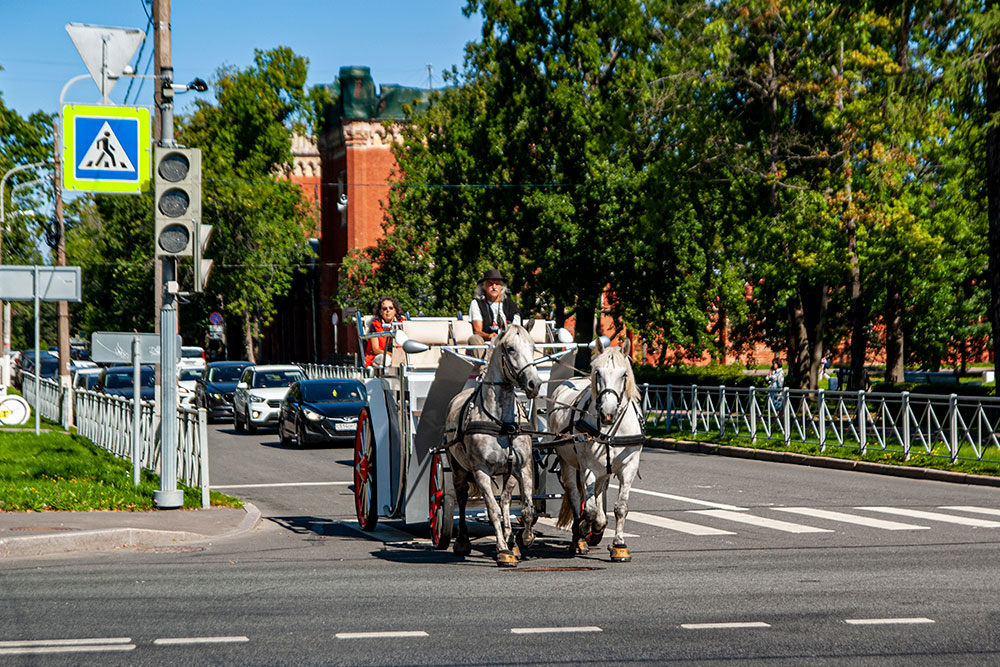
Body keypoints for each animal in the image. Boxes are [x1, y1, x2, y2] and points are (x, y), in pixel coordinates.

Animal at [444, 326, 544, 568]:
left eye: (533, 346)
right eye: (510, 348)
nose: (534, 384)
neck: (502, 423)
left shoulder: (523, 468)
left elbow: (526, 508)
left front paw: (525, 538)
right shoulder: (481, 471)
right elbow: (492, 510)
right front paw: (502, 550)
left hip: (508, 473)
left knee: (506, 500)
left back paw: (511, 538)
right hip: (458, 469)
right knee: (461, 499)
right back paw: (463, 541)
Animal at [548, 340, 640, 564]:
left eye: (624, 374)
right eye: (597, 373)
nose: (608, 413)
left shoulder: (629, 467)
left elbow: (620, 508)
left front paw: (619, 545)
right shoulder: (587, 467)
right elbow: (587, 510)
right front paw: (582, 530)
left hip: (602, 470)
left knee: (598, 492)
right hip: (567, 463)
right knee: (574, 495)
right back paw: (579, 537)